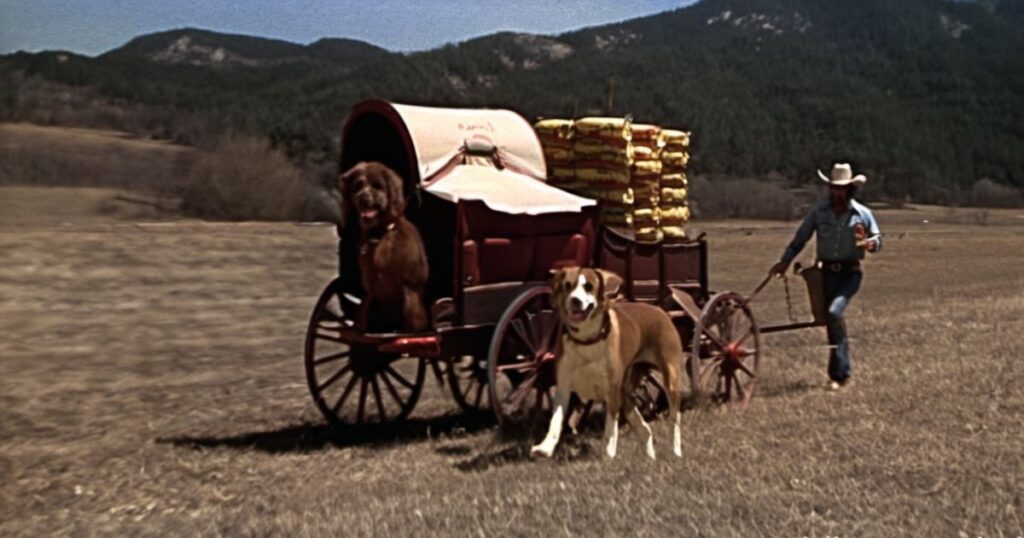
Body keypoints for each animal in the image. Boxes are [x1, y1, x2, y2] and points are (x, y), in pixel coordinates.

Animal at [528, 266, 688, 459]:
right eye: (567, 286)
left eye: (589, 286)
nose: (575, 300)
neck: (586, 341)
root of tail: (659, 310)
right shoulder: (563, 387)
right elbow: (556, 421)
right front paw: (545, 447)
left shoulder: (611, 391)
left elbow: (610, 428)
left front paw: (608, 455)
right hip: (626, 392)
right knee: (644, 429)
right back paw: (650, 458)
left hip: (670, 379)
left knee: (675, 419)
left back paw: (676, 452)